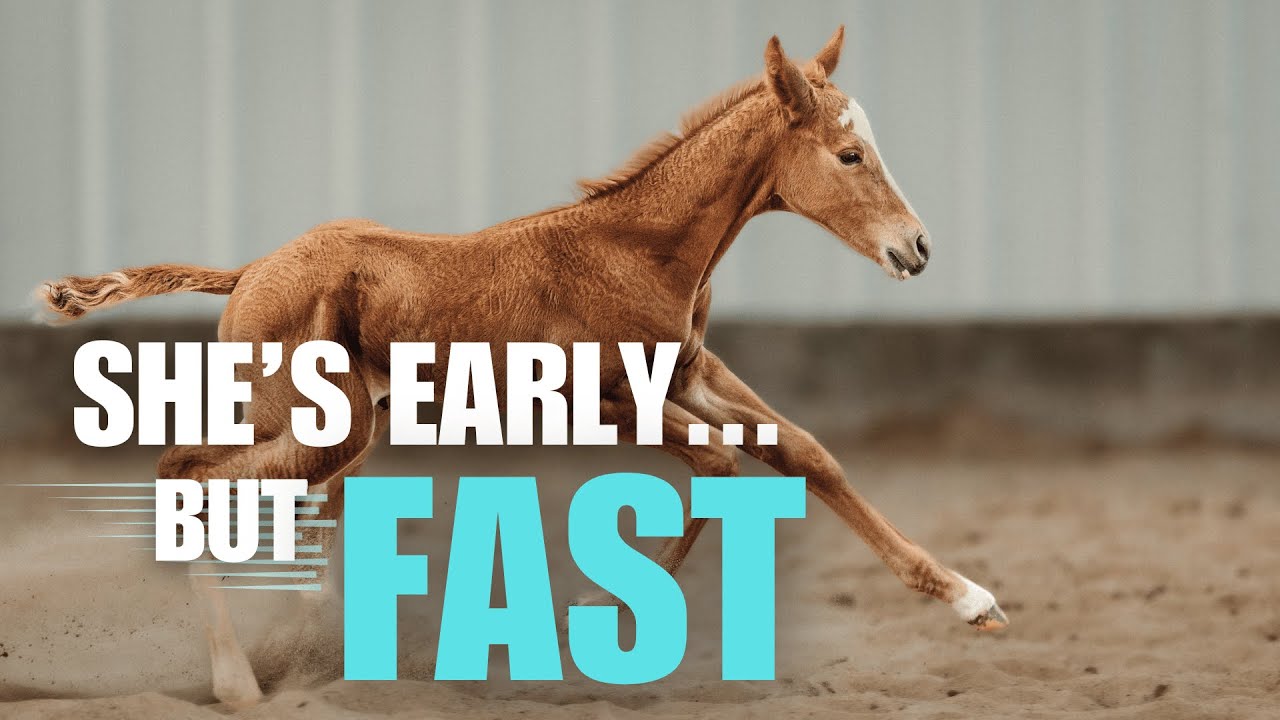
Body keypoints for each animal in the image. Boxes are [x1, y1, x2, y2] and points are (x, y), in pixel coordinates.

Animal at [38, 27, 1006, 707]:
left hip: (348, 428)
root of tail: (246, 274)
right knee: (183, 473)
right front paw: (595, 625)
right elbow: (720, 463)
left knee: (292, 509)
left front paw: (972, 600)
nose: (917, 248)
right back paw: (241, 683)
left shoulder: (691, 376)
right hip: (316, 425)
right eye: (849, 154)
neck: (639, 251)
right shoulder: (610, 400)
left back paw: (321, 664)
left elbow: (803, 452)